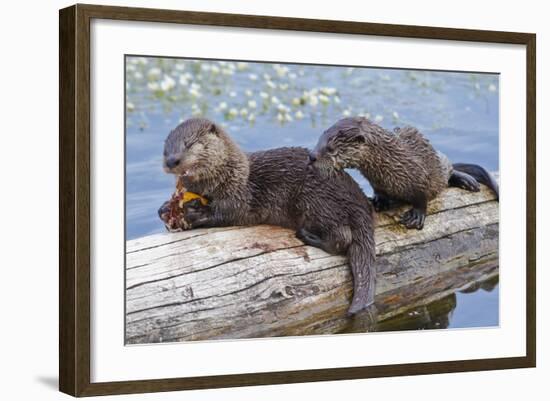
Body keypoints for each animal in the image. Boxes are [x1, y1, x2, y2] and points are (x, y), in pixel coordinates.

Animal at [157, 117, 378, 314]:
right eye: (165, 149)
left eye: (190, 144)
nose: (171, 160)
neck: (229, 175)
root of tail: (358, 200)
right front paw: (165, 208)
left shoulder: (238, 195)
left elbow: (227, 213)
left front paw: (196, 214)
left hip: (317, 200)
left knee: (342, 238)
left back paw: (308, 236)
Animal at [310, 116, 500, 228]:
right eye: (318, 140)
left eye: (331, 148)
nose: (312, 156)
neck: (390, 163)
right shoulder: (377, 183)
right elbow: (379, 192)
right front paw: (379, 201)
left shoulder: (421, 176)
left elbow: (422, 198)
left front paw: (416, 215)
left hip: (439, 164)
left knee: (449, 170)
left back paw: (467, 181)